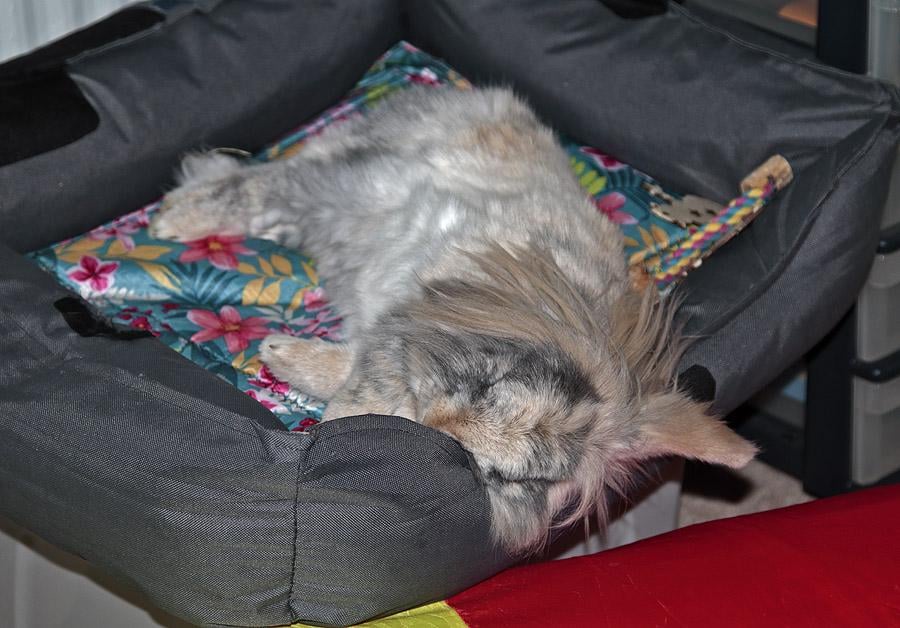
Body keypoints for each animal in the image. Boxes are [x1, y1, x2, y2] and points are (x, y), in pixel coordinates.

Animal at [150, 85, 756, 553]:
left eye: (504, 475)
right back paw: (172, 220)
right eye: (493, 385)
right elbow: (364, 387)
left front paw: (282, 359)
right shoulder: (403, 333)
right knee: (259, 184)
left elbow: (353, 372)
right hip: (355, 181)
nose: (440, 425)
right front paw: (320, 411)